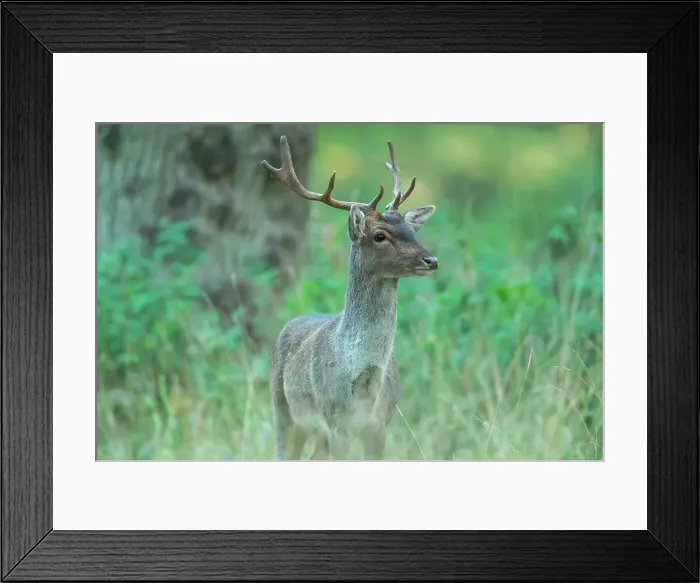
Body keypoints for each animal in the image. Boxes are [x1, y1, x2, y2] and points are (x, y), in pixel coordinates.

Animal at [262, 136, 438, 460]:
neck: (365, 388)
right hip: (282, 408)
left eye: (412, 230)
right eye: (380, 235)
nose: (431, 260)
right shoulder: (336, 422)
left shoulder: (381, 424)